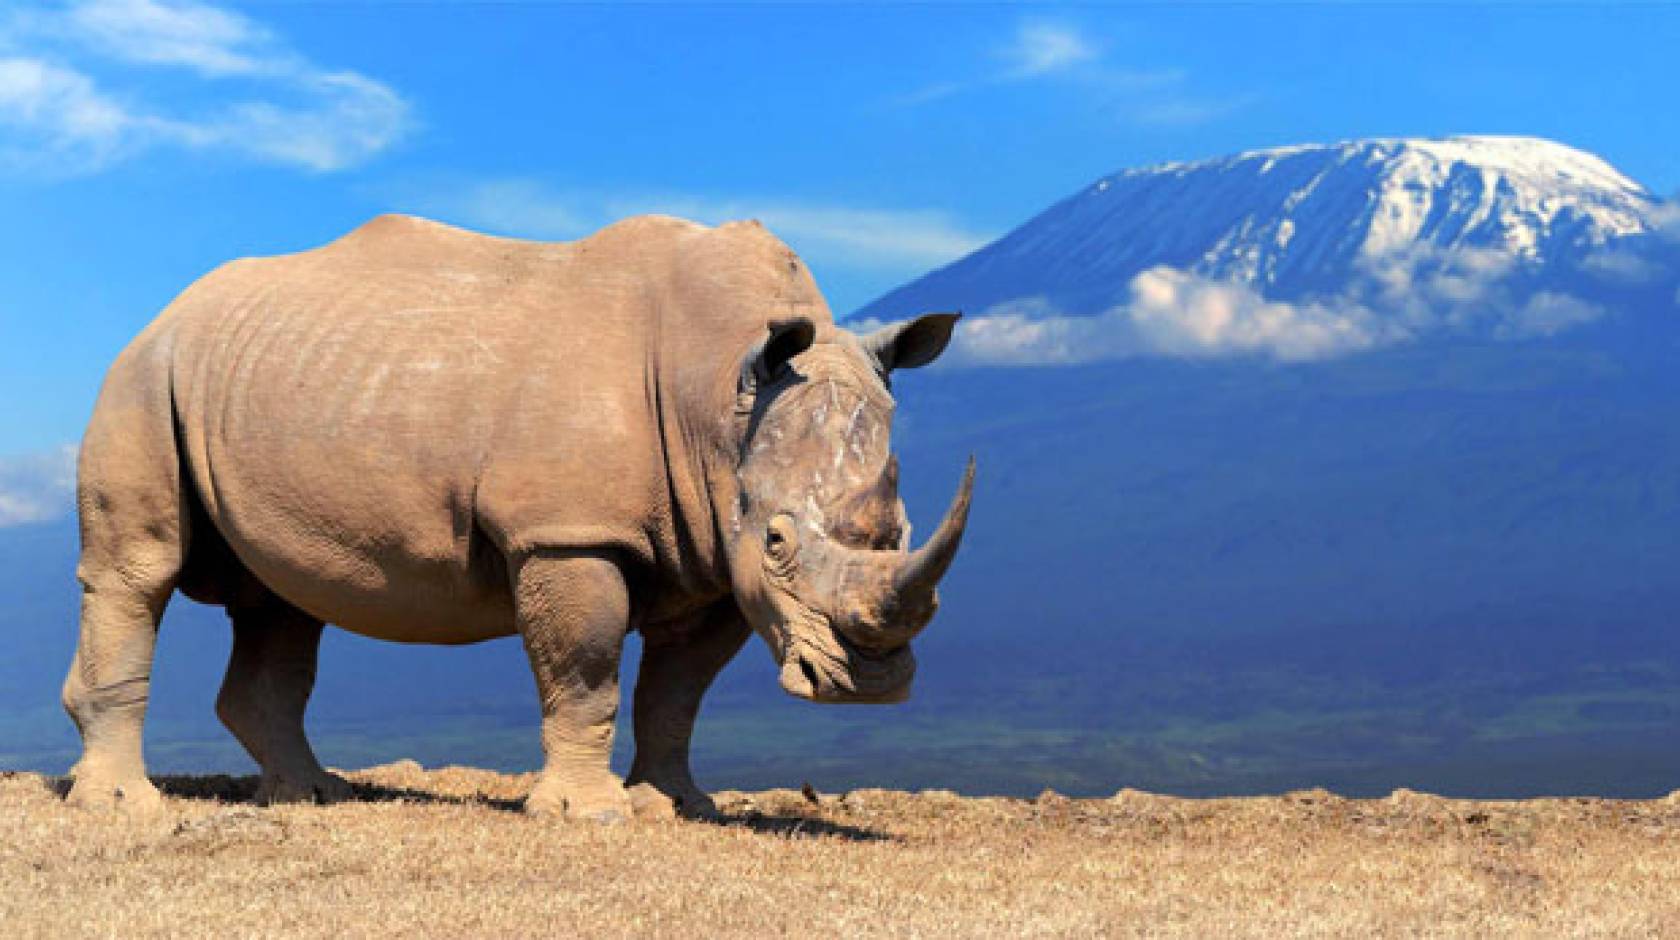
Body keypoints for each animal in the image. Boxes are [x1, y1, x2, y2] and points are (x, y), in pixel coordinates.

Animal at [62, 214, 972, 821]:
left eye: (900, 531)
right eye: (779, 543)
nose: (867, 686)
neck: (720, 391)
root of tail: (168, 310)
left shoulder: (715, 550)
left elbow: (678, 691)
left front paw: (679, 805)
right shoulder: (570, 533)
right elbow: (588, 669)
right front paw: (588, 816)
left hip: (251, 381)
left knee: (282, 602)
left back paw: (313, 796)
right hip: (144, 375)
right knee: (139, 570)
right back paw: (121, 805)